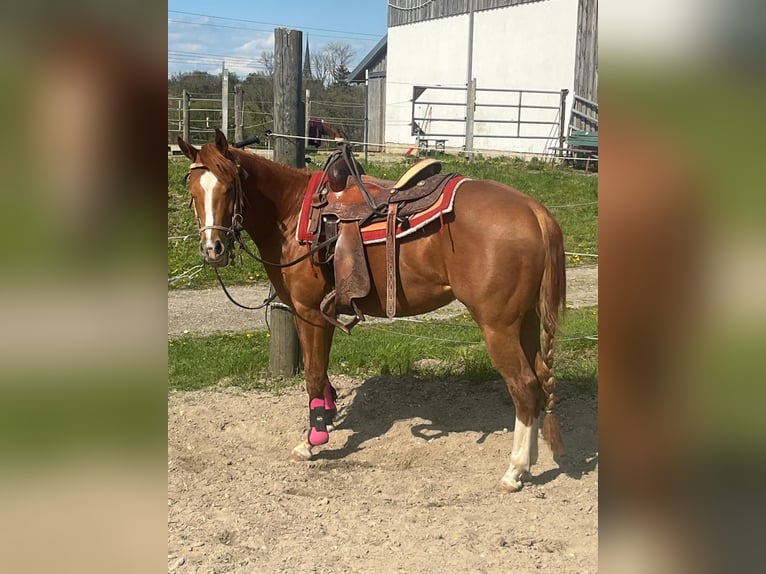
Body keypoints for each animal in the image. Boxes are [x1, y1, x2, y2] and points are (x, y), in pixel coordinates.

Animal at [177, 128, 566, 492]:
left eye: (229, 187)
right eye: (193, 191)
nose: (212, 248)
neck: (292, 211)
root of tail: (534, 211)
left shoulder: (311, 312)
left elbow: (313, 375)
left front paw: (313, 439)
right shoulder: (310, 313)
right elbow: (320, 370)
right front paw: (328, 414)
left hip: (498, 326)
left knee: (524, 386)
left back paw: (514, 470)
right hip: (525, 322)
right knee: (538, 381)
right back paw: (531, 459)